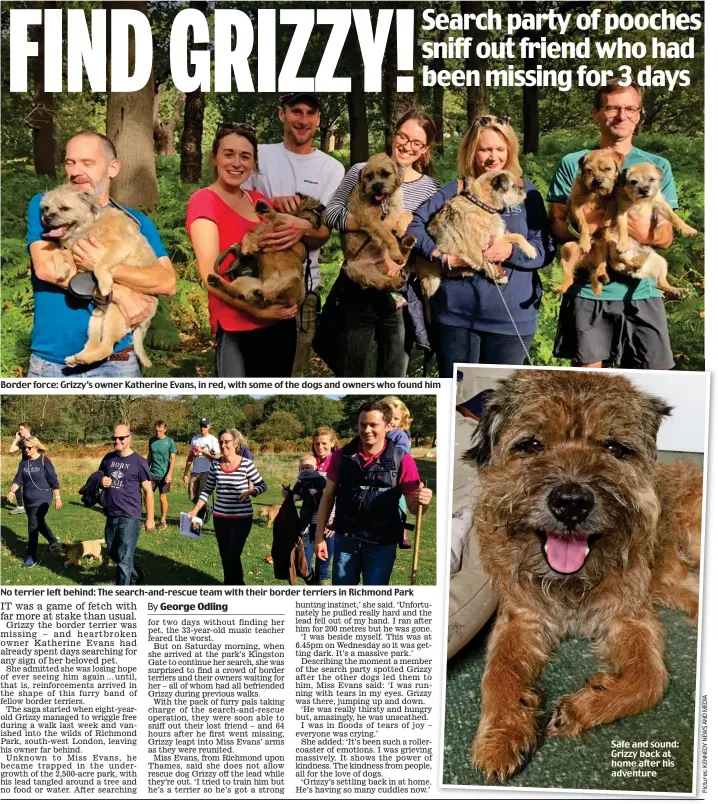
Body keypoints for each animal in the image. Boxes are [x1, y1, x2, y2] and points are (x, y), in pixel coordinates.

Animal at [342, 152, 416, 290]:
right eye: (369, 176)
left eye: (386, 173)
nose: (376, 186)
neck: (384, 201)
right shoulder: (371, 219)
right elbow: (389, 236)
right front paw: (396, 252)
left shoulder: (397, 209)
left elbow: (408, 214)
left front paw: (401, 227)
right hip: (355, 269)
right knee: (382, 281)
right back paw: (396, 275)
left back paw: (407, 242)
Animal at [414, 170, 536, 298]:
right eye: (513, 186)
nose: (524, 190)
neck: (482, 205)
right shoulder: (475, 251)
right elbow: (487, 263)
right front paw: (498, 277)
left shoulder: (497, 238)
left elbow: (518, 236)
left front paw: (530, 250)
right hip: (432, 282)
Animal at [466, 370, 704, 780]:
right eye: (531, 445)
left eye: (614, 448)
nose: (571, 503)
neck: (572, 581)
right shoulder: (521, 618)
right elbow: (498, 672)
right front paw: (499, 736)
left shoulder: (630, 618)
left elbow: (650, 679)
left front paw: (584, 707)